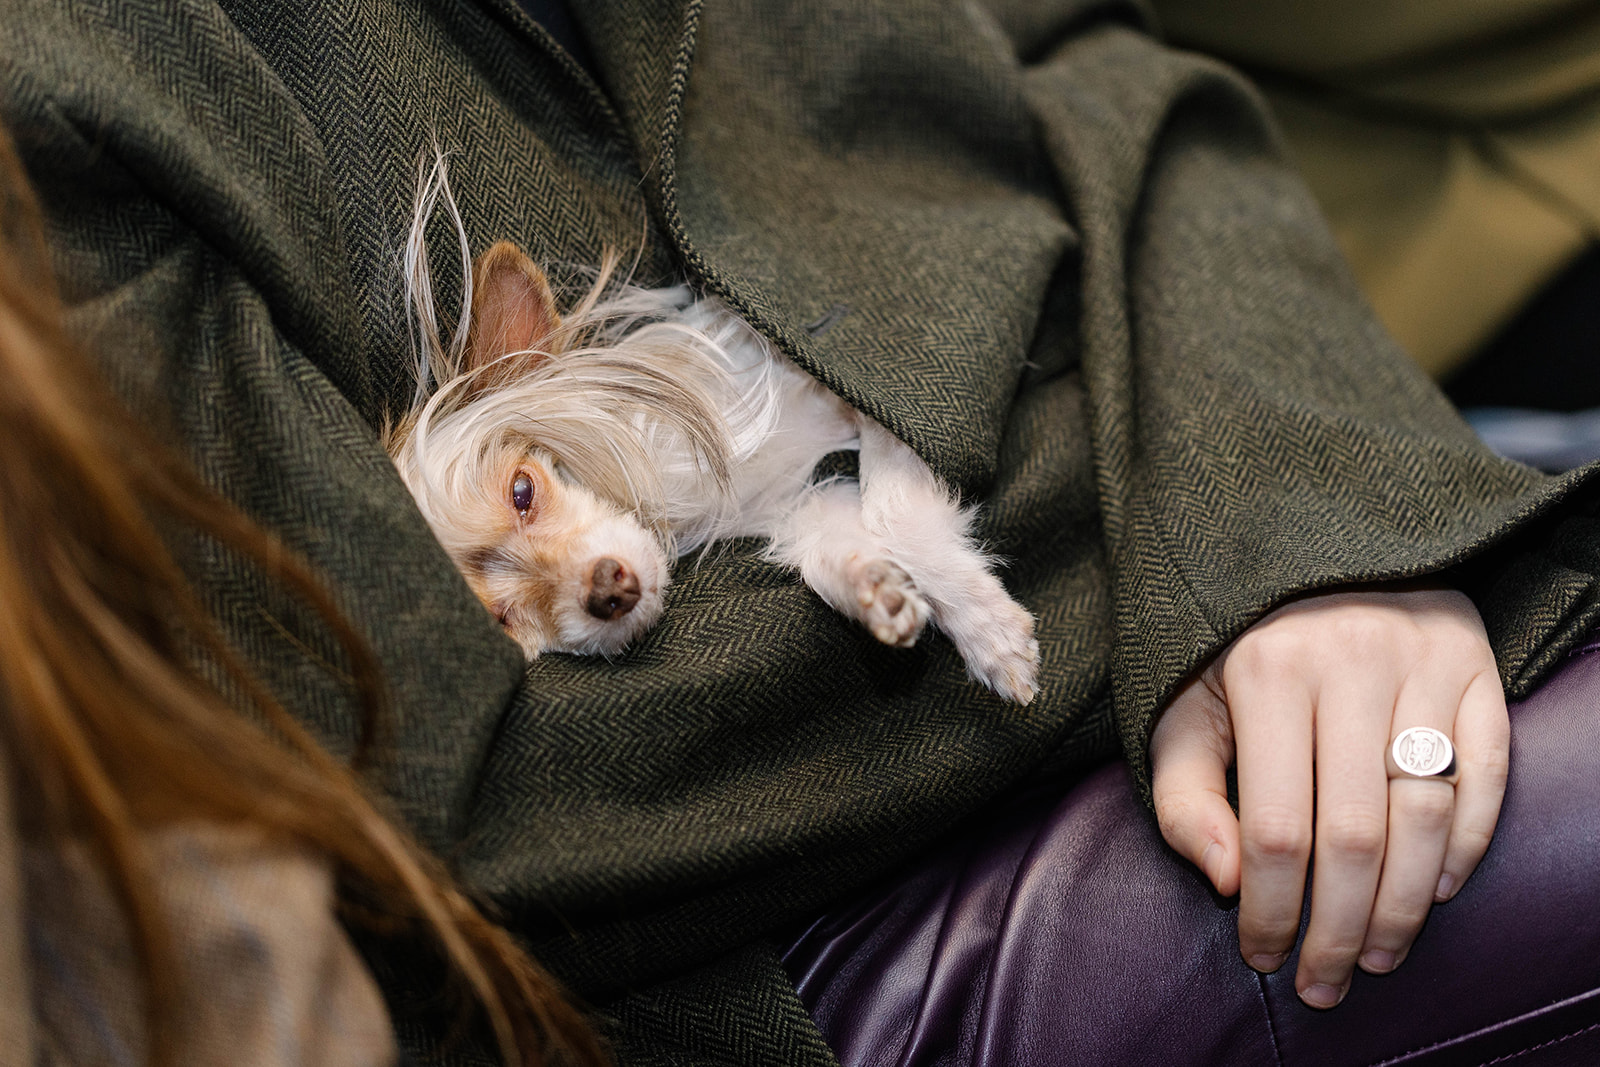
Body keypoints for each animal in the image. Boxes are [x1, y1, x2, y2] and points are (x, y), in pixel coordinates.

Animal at [387, 166, 1040, 703]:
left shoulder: (855, 395)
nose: (607, 591)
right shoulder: (798, 503)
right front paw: (873, 589)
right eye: (502, 621)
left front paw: (989, 631)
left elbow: (894, 511)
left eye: (523, 492)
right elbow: (838, 543)